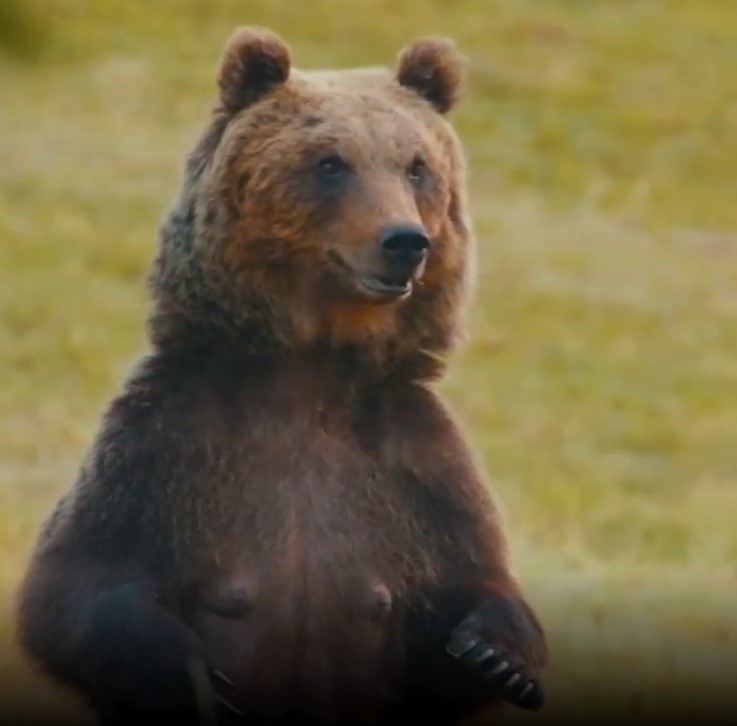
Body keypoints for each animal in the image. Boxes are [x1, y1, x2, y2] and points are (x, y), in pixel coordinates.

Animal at [12, 25, 548, 726]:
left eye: (417, 166)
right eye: (330, 162)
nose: (404, 241)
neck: (308, 373)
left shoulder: (416, 467)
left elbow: (472, 584)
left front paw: (498, 652)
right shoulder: (166, 442)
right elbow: (78, 582)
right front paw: (194, 675)